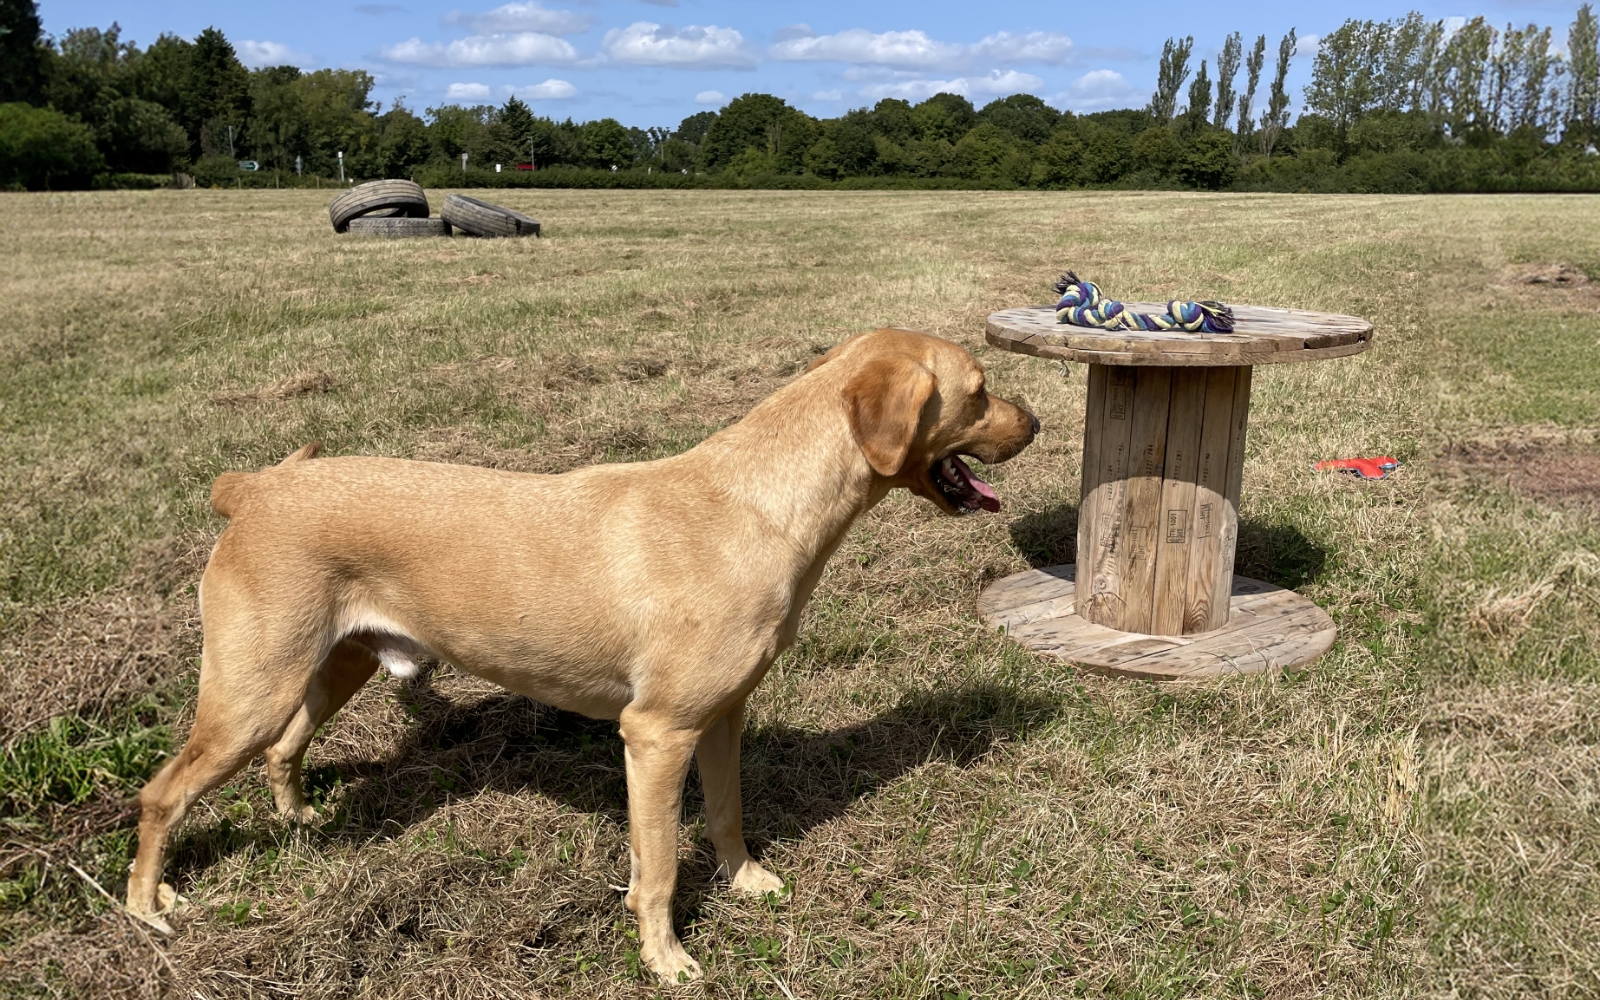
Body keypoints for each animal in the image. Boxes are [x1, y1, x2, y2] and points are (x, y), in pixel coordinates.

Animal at [124, 326, 1036, 972]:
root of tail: (252, 486)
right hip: (249, 690)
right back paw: (146, 908)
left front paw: (746, 883)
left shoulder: (722, 717)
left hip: (326, 668)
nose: (1037, 422)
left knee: (284, 750)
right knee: (162, 793)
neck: (759, 506)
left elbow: (729, 815)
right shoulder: (656, 733)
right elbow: (660, 867)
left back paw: (302, 823)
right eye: (980, 392)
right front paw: (666, 958)